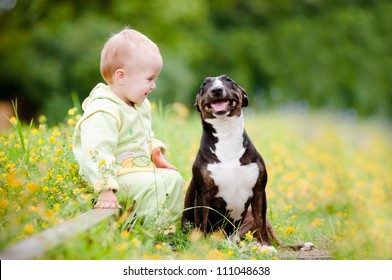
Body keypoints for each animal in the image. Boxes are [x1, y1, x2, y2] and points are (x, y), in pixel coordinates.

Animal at [182, 74, 314, 252]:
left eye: (229, 81)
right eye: (204, 84)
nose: (216, 90)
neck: (226, 136)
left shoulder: (259, 192)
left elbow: (261, 222)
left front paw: (267, 247)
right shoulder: (203, 195)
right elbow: (201, 224)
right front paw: (201, 248)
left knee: (277, 242)